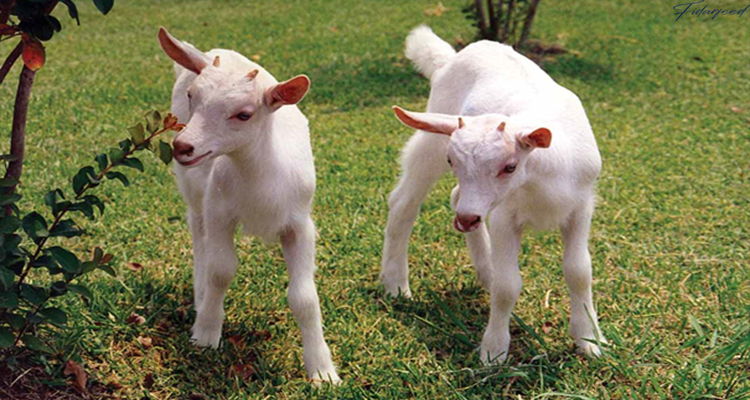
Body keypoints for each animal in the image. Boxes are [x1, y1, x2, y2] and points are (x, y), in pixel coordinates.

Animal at [157, 28, 340, 384]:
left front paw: (322, 371)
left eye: (244, 114)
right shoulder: (219, 212)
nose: (183, 146)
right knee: (198, 233)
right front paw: (206, 333)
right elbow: (221, 270)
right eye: (192, 96)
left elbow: (304, 296)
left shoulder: (300, 223)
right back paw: (200, 297)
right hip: (194, 192)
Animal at [381, 26, 607, 363]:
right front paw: (494, 352)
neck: (541, 181)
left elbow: (579, 271)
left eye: (510, 166)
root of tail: (451, 58)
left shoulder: (580, 207)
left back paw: (484, 271)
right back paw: (395, 285)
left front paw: (589, 341)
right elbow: (508, 285)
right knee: (404, 202)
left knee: (455, 196)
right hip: (432, 137)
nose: (465, 219)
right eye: (452, 161)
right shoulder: (504, 215)